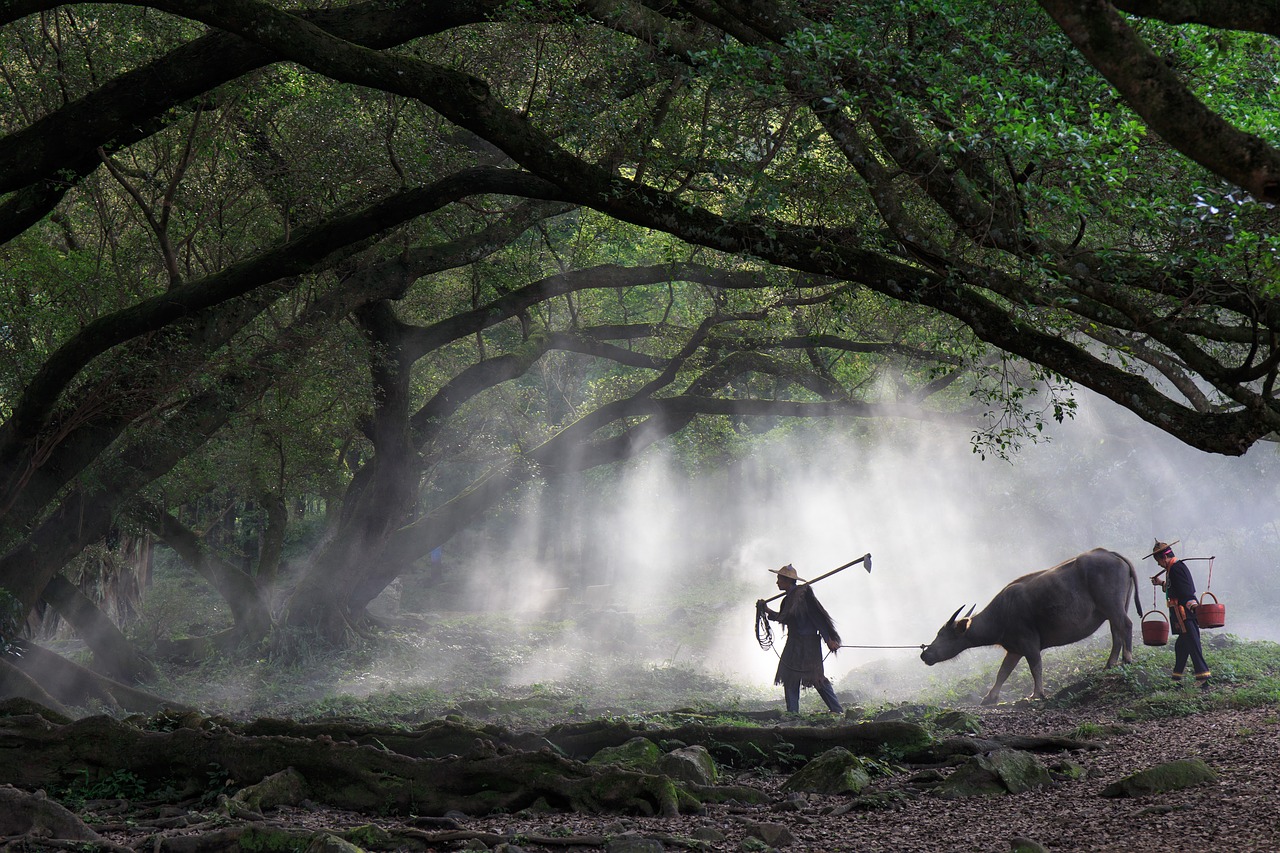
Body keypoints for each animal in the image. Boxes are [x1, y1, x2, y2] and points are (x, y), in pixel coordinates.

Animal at [921, 548, 1141, 701]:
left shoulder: (1029, 644)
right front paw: (990, 697)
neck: (1001, 613)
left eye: (943, 634)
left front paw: (1037, 694)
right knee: (1116, 632)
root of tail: (1110, 553)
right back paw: (1110, 664)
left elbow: (1035, 667)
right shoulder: (1014, 649)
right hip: (1116, 607)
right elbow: (1003, 672)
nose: (925, 654)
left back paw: (1127, 659)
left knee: (1126, 625)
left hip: (1112, 606)